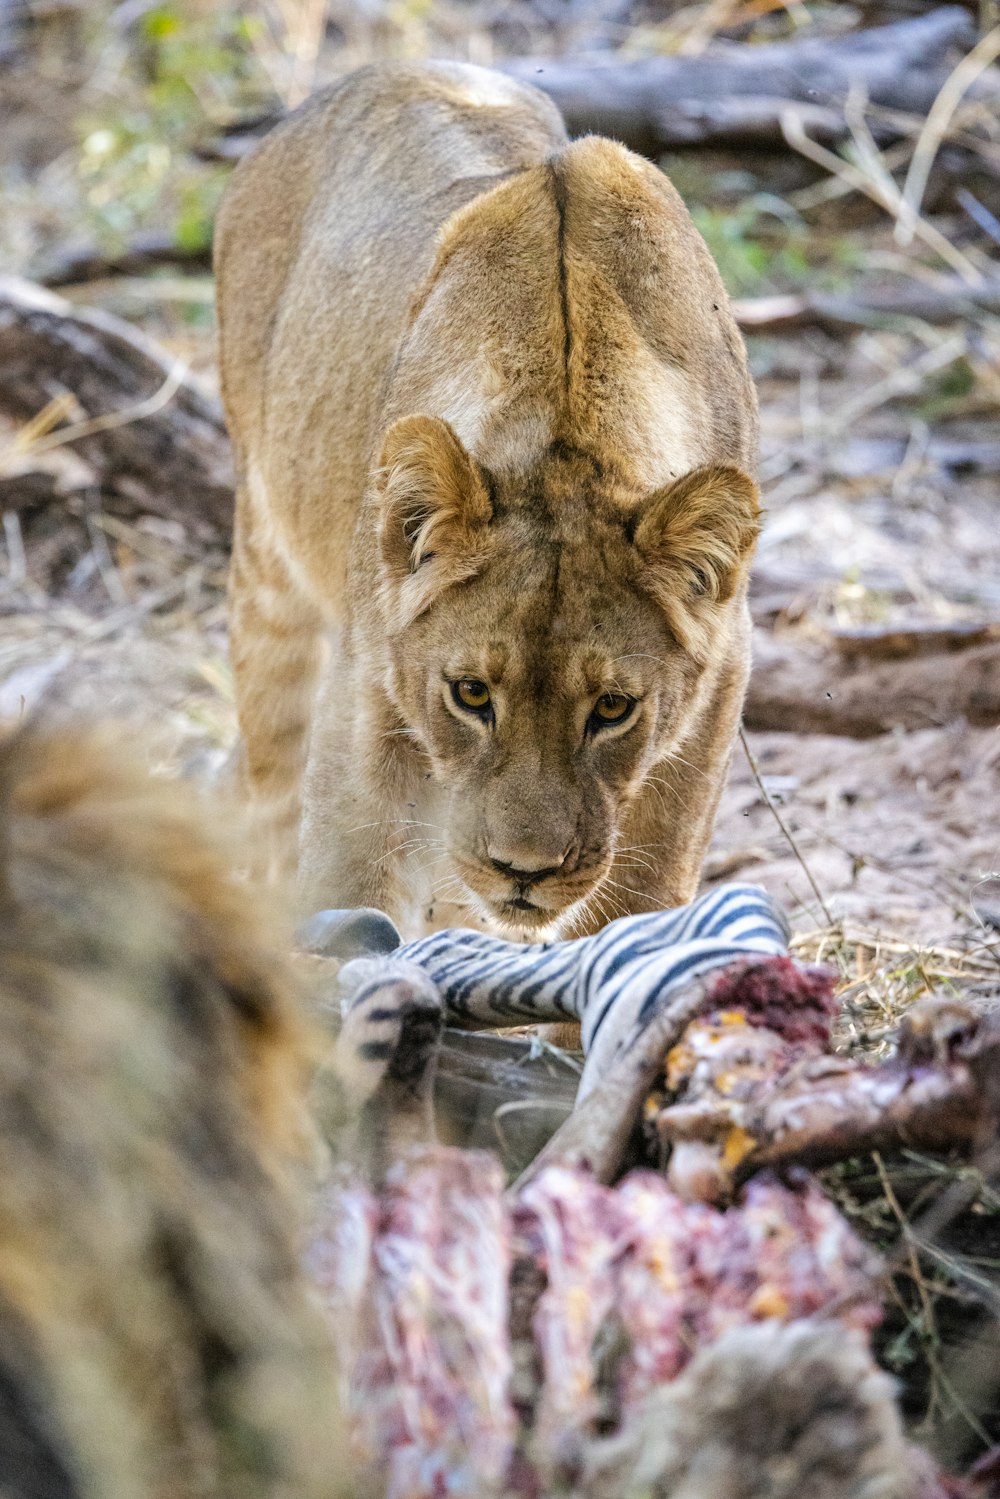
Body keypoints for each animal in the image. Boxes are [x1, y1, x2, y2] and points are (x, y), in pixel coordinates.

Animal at [217, 61, 758, 935]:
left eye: (613, 707)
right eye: (470, 693)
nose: (524, 872)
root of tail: (386, 69)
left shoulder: (718, 686)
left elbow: (638, 900)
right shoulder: (365, 695)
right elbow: (346, 882)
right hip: (268, 574)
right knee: (269, 793)